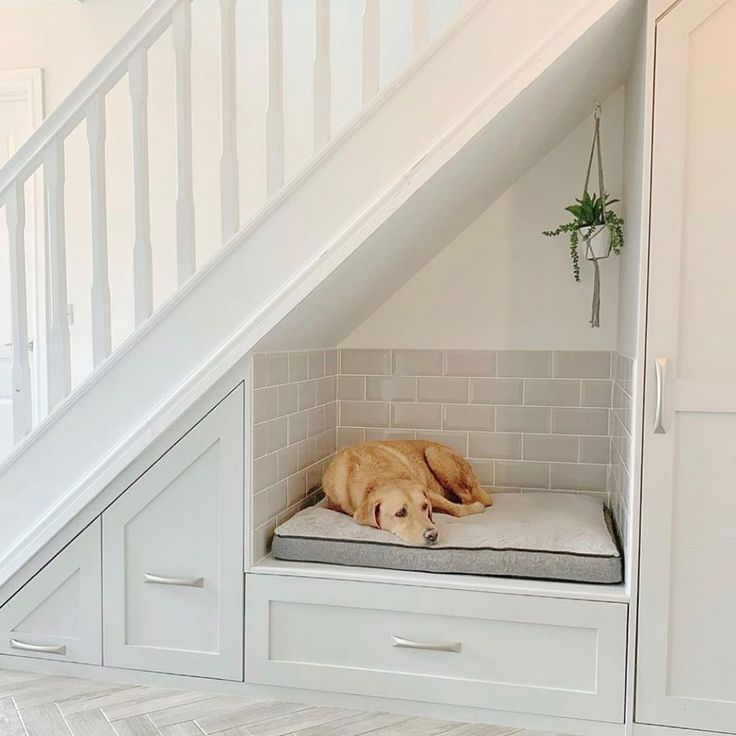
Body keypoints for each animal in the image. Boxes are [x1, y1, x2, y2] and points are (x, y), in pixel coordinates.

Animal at [324, 440, 492, 544]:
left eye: (424, 507)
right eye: (400, 513)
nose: (432, 535)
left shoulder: (427, 492)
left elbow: (456, 509)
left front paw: (474, 509)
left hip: (434, 453)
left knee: (474, 497)